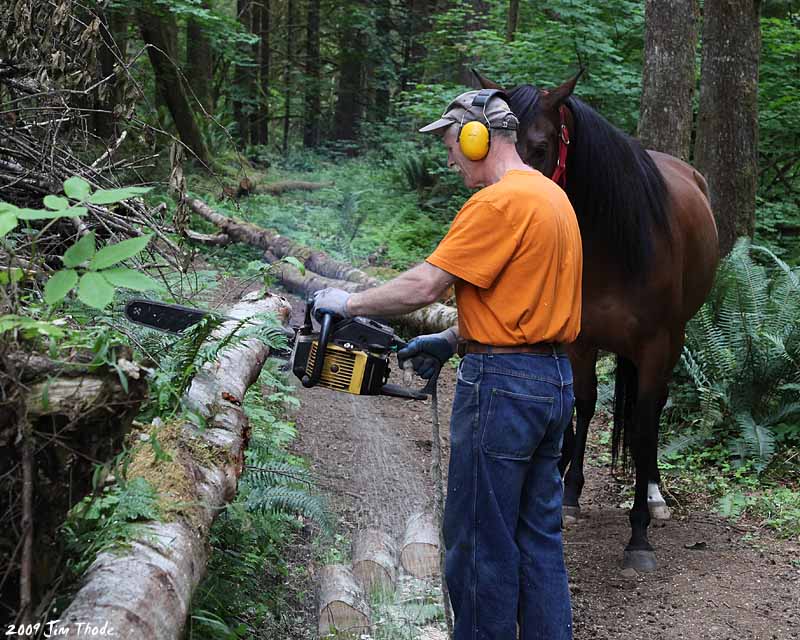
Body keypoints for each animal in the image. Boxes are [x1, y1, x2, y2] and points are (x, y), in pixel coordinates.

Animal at [472, 71, 720, 576]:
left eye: (541, 146)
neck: (616, 247)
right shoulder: (580, 342)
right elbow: (582, 406)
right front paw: (567, 494)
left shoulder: (655, 346)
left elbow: (643, 424)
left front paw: (639, 533)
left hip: (674, 339)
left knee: (653, 411)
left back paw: (654, 492)